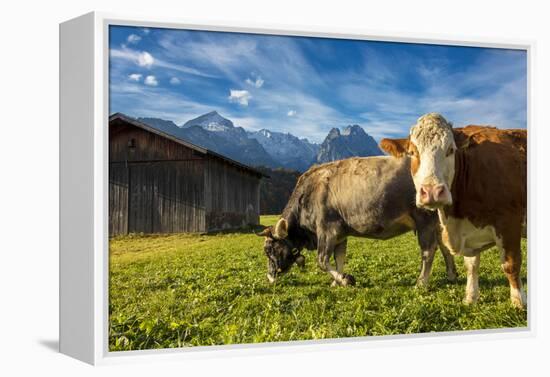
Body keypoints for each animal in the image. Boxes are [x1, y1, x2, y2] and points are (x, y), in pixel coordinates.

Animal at [258, 157, 458, 286]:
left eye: (270, 250)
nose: (270, 277)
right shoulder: (340, 233)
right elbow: (339, 258)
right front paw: (337, 281)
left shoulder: (327, 229)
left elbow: (322, 260)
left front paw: (345, 279)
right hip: (437, 220)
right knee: (444, 246)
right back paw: (451, 274)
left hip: (424, 217)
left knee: (428, 250)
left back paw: (421, 282)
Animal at [382, 113, 528, 306]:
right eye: (413, 152)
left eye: (450, 150)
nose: (432, 192)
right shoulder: (467, 231)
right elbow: (471, 265)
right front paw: (471, 297)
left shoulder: (509, 221)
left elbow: (511, 264)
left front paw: (519, 302)